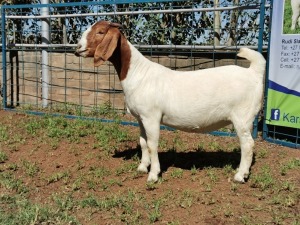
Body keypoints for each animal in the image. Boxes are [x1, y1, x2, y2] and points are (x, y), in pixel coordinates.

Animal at [74, 20, 264, 183]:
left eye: (100, 31)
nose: (77, 48)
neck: (138, 73)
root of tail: (253, 72)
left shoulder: (151, 116)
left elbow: (152, 144)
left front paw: (153, 175)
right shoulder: (140, 118)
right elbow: (143, 142)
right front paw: (142, 167)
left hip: (242, 116)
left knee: (247, 144)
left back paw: (240, 175)